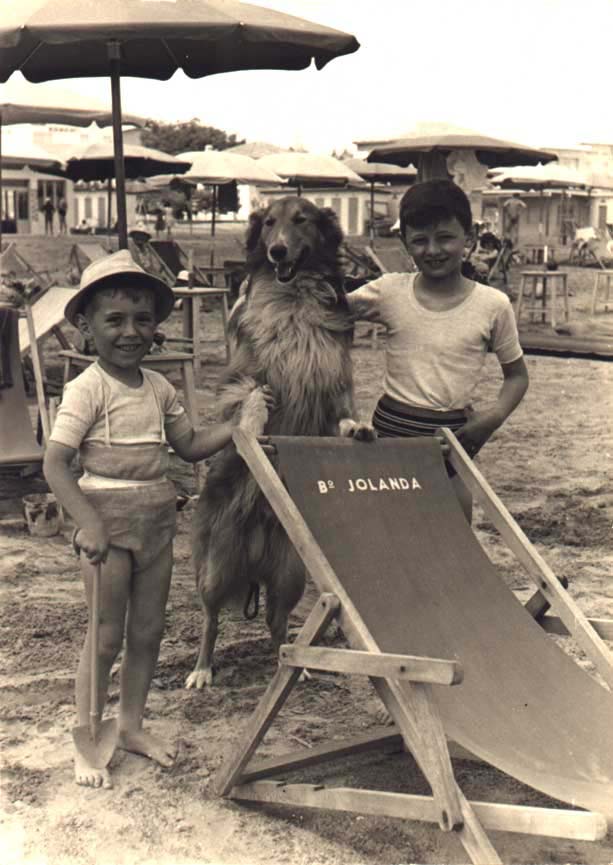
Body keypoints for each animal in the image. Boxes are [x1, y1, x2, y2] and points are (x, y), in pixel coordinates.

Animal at [185, 196, 374, 689]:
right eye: (269, 223)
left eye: (301, 220)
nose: (277, 252)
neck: (292, 301)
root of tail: (253, 555)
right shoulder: (243, 373)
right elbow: (249, 396)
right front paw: (253, 422)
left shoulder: (334, 384)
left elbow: (344, 415)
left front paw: (359, 429)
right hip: (215, 566)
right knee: (210, 620)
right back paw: (201, 670)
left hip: (293, 574)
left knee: (277, 625)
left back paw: (295, 667)